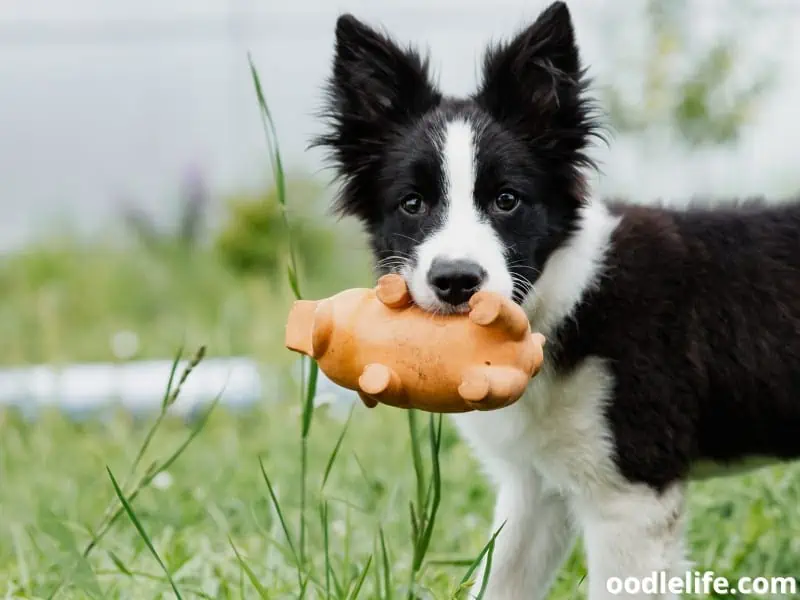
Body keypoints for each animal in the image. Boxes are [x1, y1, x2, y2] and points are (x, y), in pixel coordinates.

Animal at [310, 2, 800, 596]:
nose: (456, 281)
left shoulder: (631, 495)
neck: (567, 303)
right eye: (412, 203)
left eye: (507, 200)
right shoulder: (533, 488)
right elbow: (501, 582)